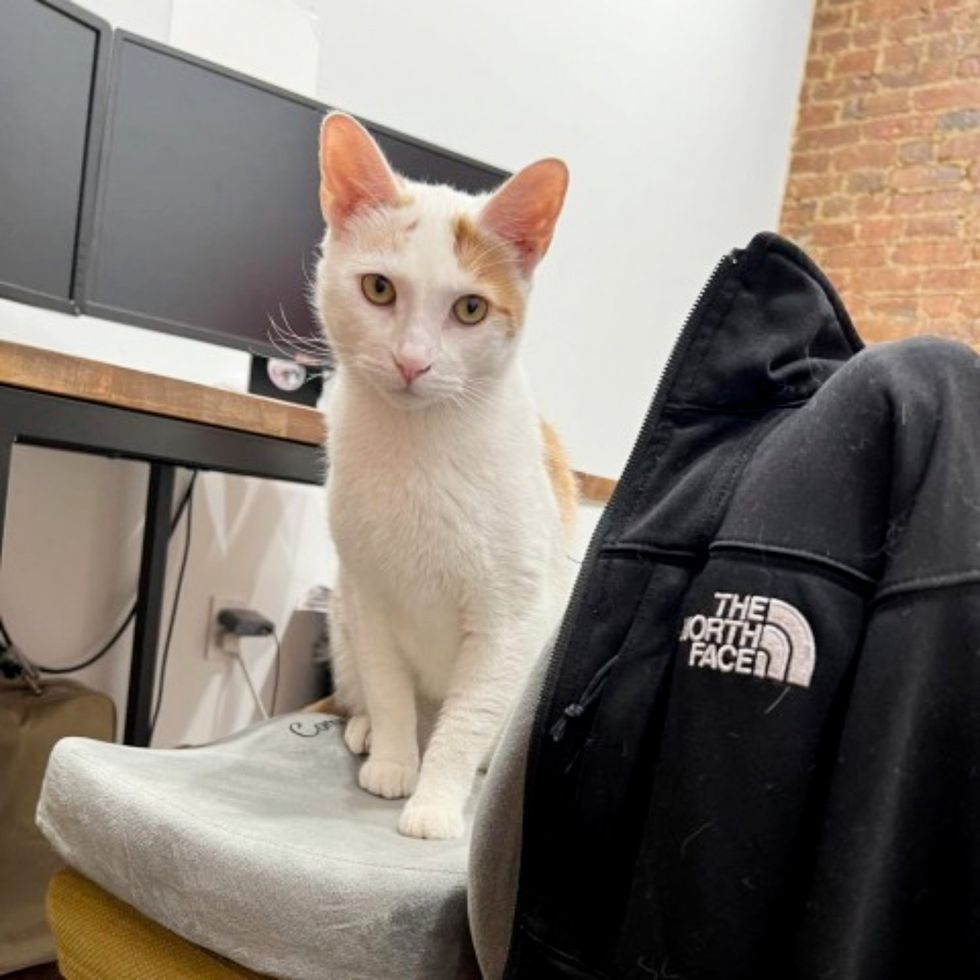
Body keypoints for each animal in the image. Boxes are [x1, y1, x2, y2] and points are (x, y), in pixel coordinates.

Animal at [316, 111, 576, 840]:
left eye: (469, 310)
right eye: (379, 288)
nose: (412, 361)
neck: (420, 448)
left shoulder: (511, 618)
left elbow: (467, 720)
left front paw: (434, 802)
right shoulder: (367, 595)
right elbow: (388, 687)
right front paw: (395, 762)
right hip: (338, 615)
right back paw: (365, 731)